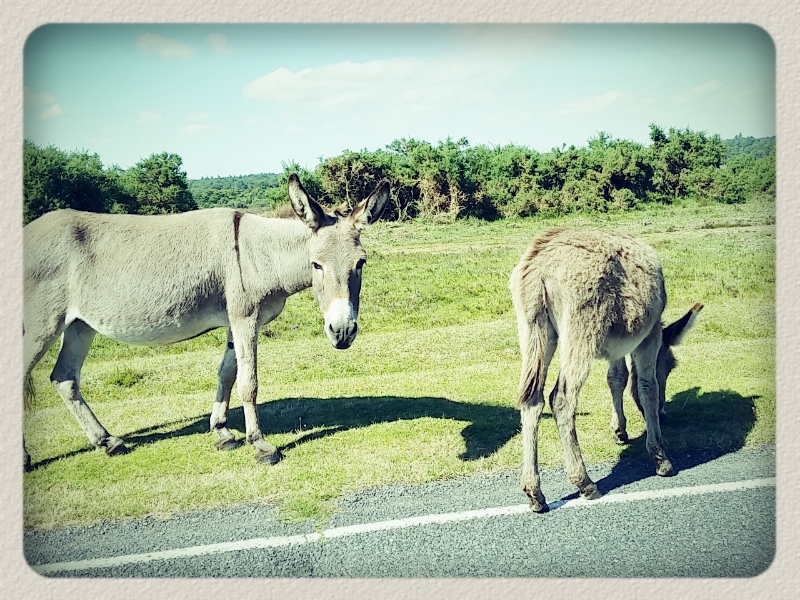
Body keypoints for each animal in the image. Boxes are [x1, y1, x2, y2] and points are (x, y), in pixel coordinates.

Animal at [23, 174, 388, 471]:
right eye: (316, 265)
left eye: (361, 263)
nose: (342, 332)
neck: (259, 253)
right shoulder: (244, 317)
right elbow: (248, 382)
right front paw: (260, 445)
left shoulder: (236, 321)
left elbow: (227, 373)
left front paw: (222, 431)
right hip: (43, 323)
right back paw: (28, 459)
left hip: (80, 324)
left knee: (64, 378)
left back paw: (108, 442)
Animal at [509, 227, 702, 512]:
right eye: (669, 367)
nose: (664, 413)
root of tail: (540, 265)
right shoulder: (649, 338)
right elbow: (646, 387)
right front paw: (660, 457)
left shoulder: (617, 347)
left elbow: (617, 378)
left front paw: (619, 430)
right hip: (580, 331)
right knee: (562, 399)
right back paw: (585, 482)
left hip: (534, 332)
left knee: (532, 401)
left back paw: (534, 493)